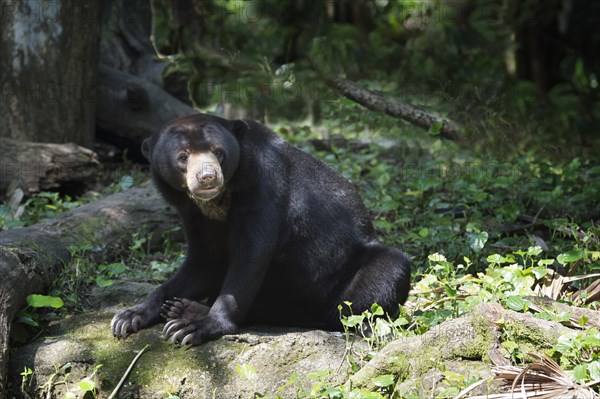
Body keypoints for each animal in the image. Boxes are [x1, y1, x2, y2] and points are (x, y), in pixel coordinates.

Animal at [111, 114, 412, 346]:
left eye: (218, 151)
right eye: (183, 156)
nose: (207, 177)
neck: (217, 202)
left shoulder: (263, 188)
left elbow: (251, 256)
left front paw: (196, 328)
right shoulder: (193, 214)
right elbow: (203, 260)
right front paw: (128, 316)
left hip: (343, 275)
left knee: (386, 270)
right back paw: (182, 306)